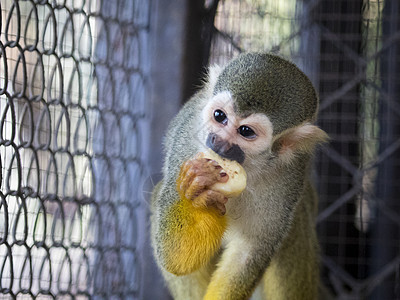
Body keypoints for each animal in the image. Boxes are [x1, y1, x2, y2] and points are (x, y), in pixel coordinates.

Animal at [150, 52, 328, 298]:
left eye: (246, 131)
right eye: (219, 116)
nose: (218, 142)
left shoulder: (290, 174)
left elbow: (249, 252)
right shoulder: (187, 142)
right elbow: (175, 258)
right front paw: (198, 196)